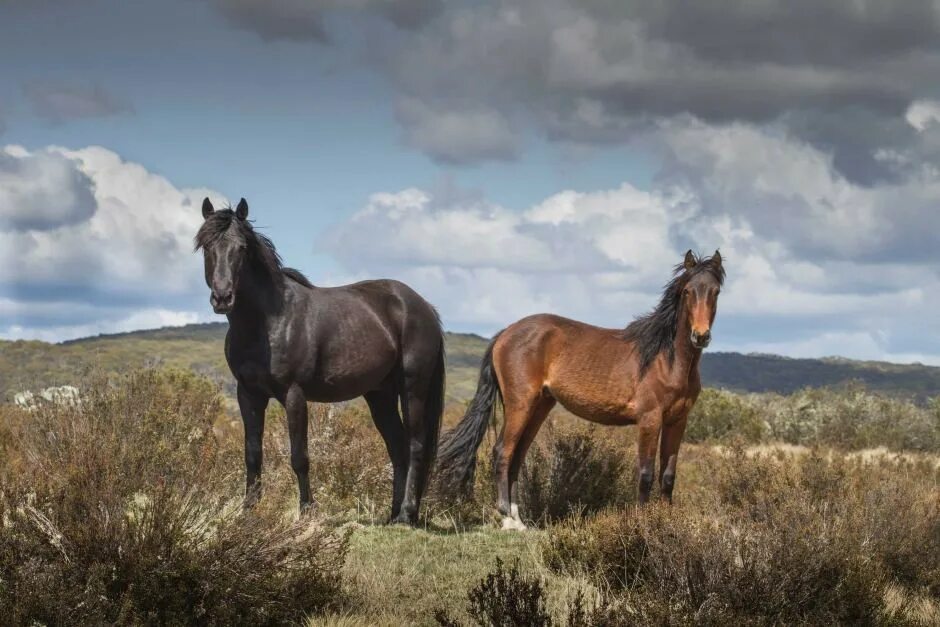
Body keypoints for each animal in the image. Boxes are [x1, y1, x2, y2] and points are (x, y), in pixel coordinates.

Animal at [196, 197, 444, 524]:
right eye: (207, 247)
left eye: (242, 248)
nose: (223, 297)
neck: (268, 322)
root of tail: (423, 306)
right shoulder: (248, 394)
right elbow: (252, 454)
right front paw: (248, 511)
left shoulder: (294, 395)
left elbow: (299, 457)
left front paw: (306, 511)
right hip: (380, 395)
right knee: (398, 447)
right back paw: (392, 514)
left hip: (413, 389)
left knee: (415, 445)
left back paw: (406, 514)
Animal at [436, 250, 724, 528]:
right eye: (687, 291)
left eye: (715, 291)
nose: (700, 336)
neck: (666, 359)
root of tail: (505, 333)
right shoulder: (650, 420)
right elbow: (645, 475)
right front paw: (644, 523)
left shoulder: (677, 421)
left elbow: (668, 476)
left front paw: (666, 522)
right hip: (520, 404)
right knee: (502, 453)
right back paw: (507, 518)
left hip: (539, 406)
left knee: (517, 456)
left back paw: (519, 520)